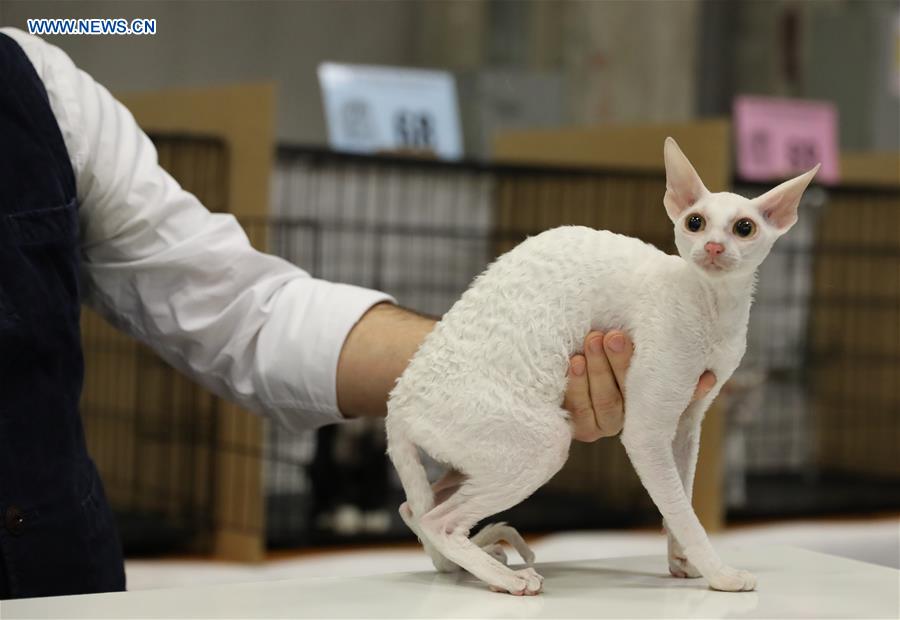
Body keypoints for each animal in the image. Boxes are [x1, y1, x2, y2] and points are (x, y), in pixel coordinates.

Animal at [384, 139, 820, 596]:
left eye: (744, 228)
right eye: (696, 222)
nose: (714, 247)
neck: (714, 306)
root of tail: (397, 404)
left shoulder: (689, 421)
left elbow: (681, 495)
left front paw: (682, 561)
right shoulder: (647, 432)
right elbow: (683, 511)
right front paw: (720, 574)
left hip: (477, 457)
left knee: (415, 509)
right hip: (542, 441)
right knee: (441, 521)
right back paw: (509, 579)